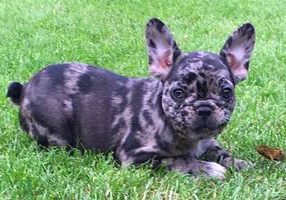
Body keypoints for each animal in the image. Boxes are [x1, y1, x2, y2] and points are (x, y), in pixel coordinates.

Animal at [7, 18, 256, 178]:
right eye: (178, 93)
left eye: (226, 92)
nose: (204, 108)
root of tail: (25, 88)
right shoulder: (135, 157)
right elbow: (175, 160)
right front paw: (208, 168)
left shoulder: (208, 142)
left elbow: (221, 152)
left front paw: (239, 162)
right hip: (57, 134)